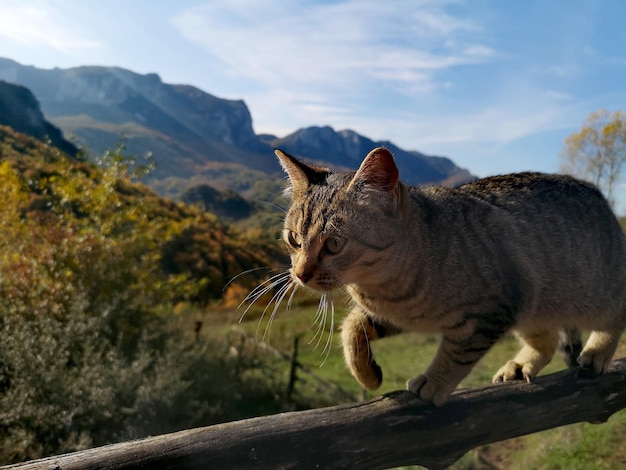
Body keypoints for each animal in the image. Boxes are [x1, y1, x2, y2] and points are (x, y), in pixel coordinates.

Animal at [272, 148, 624, 408]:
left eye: (334, 244)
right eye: (293, 239)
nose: (300, 274)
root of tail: (600, 198)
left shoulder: (492, 311)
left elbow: (456, 353)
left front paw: (433, 381)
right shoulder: (403, 314)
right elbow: (352, 327)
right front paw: (366, 374)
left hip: (587, 293)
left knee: (613, 314)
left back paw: (597, 352)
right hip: (533, 311)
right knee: (546, 341)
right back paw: (520, 365)